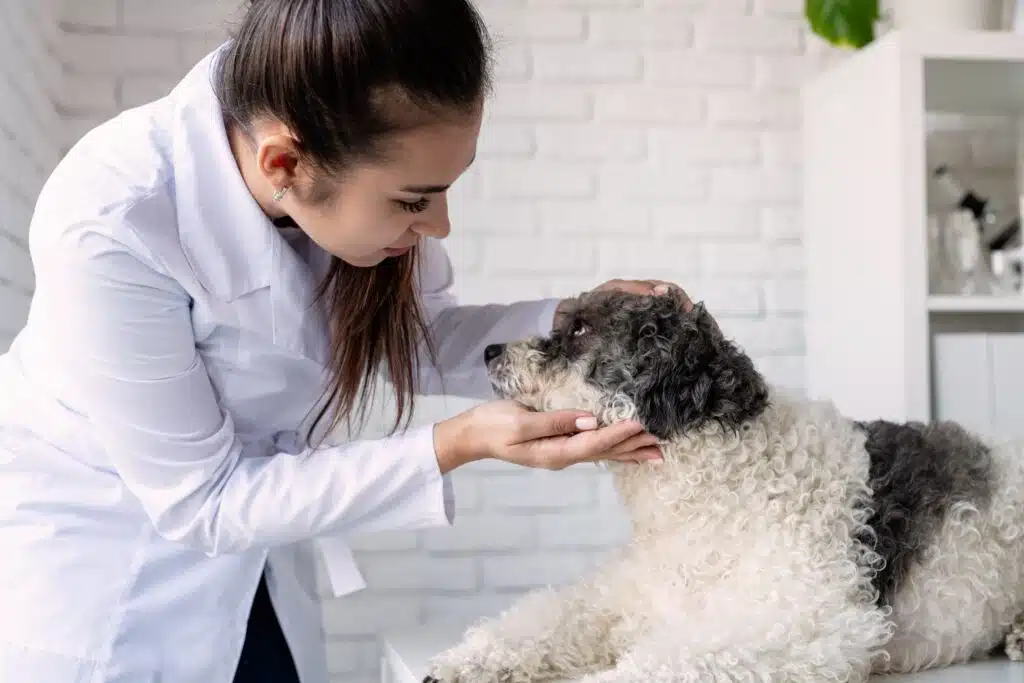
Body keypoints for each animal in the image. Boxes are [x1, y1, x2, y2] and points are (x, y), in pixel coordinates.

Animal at [419, 286, 1024, 683]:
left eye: (581, 329)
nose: (489, 351)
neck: (718, 493)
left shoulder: (804, 624)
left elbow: (665, 663)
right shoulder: (618, 597)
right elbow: (543, 618)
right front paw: (466, 660)